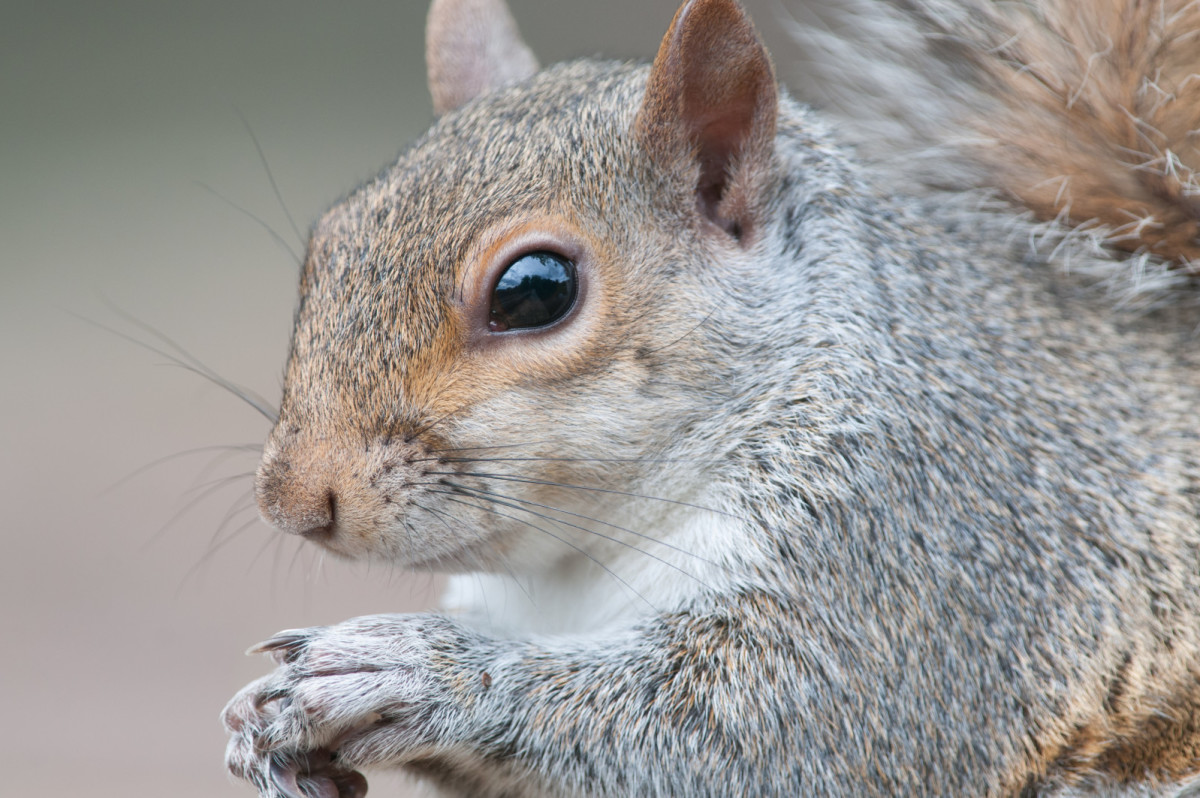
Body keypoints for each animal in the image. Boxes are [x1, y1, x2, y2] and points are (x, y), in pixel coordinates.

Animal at [220, 0, 1200, 792]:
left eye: (533, 292)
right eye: (327, 243)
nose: (294, 501)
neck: (583, 563)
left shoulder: (917, 562)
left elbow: (759, 731)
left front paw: (418, 670)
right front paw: (260, 722)